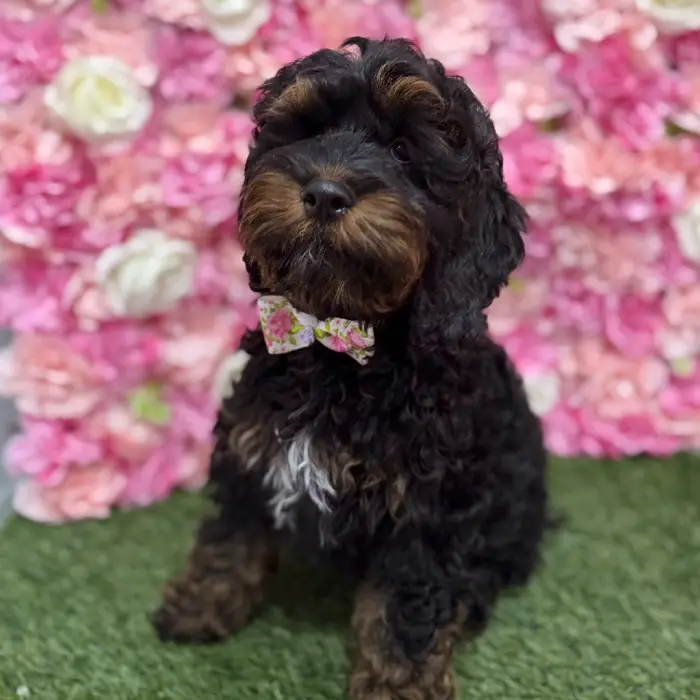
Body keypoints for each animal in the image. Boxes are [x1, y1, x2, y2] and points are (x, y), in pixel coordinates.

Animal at [153, 37, 548, 700]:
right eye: (308, 131)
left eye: (404, 151)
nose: (324, 193)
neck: (336, 351)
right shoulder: (251, 447)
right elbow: (231, 533)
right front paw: (198, 604)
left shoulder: (427, 509)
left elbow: (406, 607)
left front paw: (397, 684)